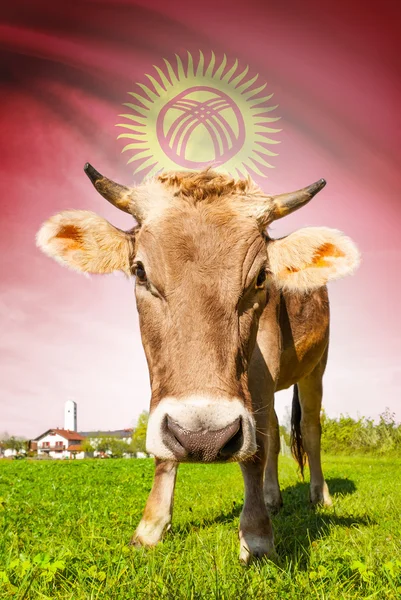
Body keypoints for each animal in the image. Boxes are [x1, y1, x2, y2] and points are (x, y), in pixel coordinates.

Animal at [36, 164, 358, 564]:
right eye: (139, 271)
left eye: (261, 277)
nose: (204, 438)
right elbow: (167, 448)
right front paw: (150, 527)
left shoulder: (263, 363)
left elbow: (255, 451)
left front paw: (257, 535)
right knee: (272, 430)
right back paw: (272, 497)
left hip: (316, 367)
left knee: (310, 431)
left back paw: (319, 496)